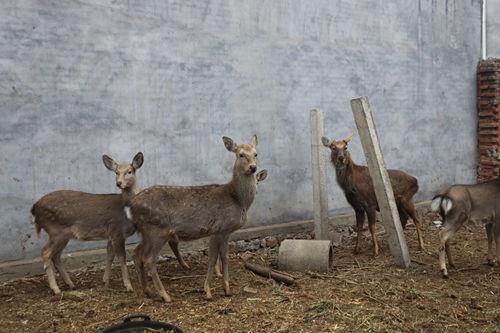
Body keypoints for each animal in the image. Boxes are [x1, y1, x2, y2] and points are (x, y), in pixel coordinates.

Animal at [30, 152, 189, 294]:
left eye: (129, 171)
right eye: (116, 172)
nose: (118, 183)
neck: (126, 211)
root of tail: (34, 208)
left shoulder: (111, 234)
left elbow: (110, 255)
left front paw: (105, 280)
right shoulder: (117, 230)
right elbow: (122, 257)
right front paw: (128, 286)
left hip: (63, 234)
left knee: (56, 255)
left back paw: (71, 284)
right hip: (56, 230)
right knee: (46, 252)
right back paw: (55, 289)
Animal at [127, 134, 268, 300]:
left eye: (256, 154)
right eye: (241, 154)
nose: (253, 167)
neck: (238, 200)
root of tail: (131, 204)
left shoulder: (226, 232)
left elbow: (225, 258)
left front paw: (227, 289)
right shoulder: (218, 228)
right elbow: (212, 259)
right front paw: (207, 291)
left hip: (146, 232)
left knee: (136, 253)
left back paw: (147, 291)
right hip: (157, 230)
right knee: (148, 260)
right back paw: (165, 295)